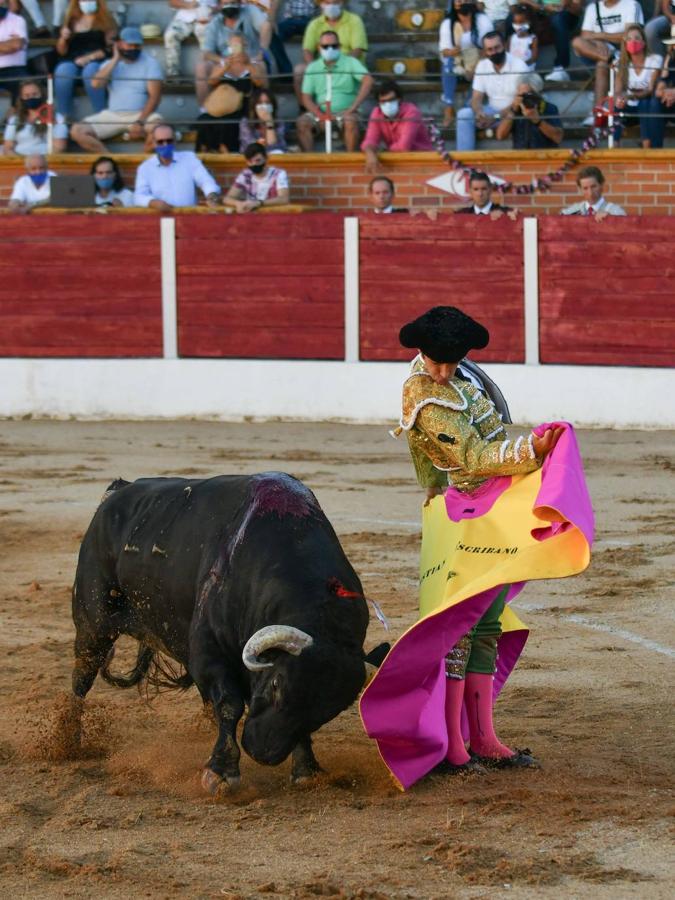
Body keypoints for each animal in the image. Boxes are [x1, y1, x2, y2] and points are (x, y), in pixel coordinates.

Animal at [74, 474, 382, 792]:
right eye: (276, 684)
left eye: (329, 712)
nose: (262, 753)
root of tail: (118, 490)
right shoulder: (209, 652)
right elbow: (229, 704)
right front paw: (221, 771)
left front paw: (306, 769)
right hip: (93, 622)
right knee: (82, 677)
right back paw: (69, 743)